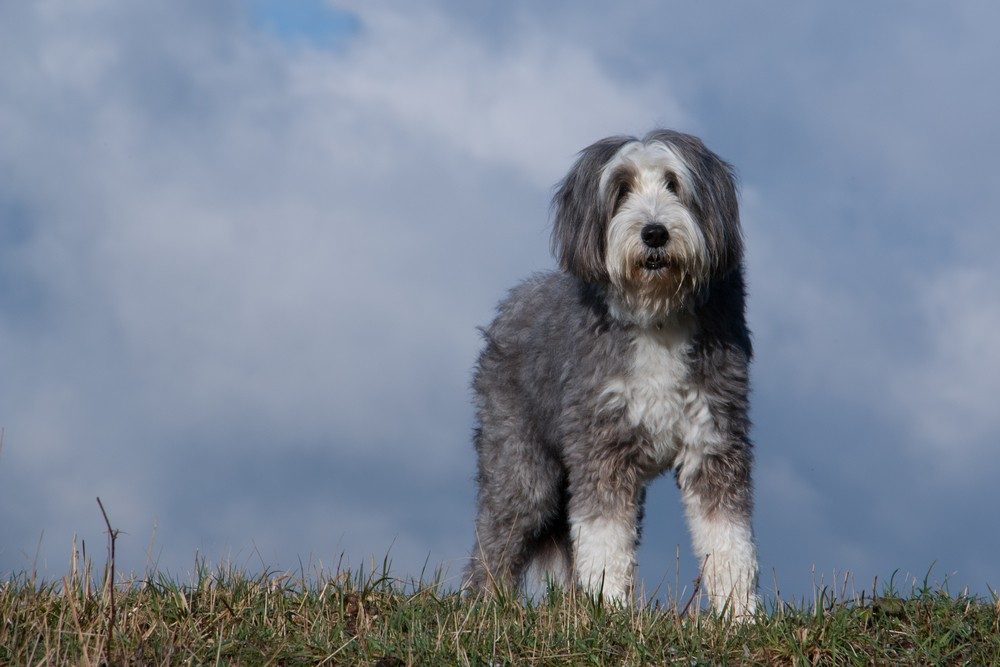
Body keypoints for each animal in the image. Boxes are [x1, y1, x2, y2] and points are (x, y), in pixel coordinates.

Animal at [464, 129, 752, 616]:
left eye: (674, 183)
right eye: (621, 189)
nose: (654, 233)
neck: (656, 317)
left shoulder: (714, 438)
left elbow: (729, 538)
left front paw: (741, 617)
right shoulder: (601, 442)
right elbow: (603, 537)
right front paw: (610, 610)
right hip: (521, 460)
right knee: (498, 535)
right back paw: (481, 607)